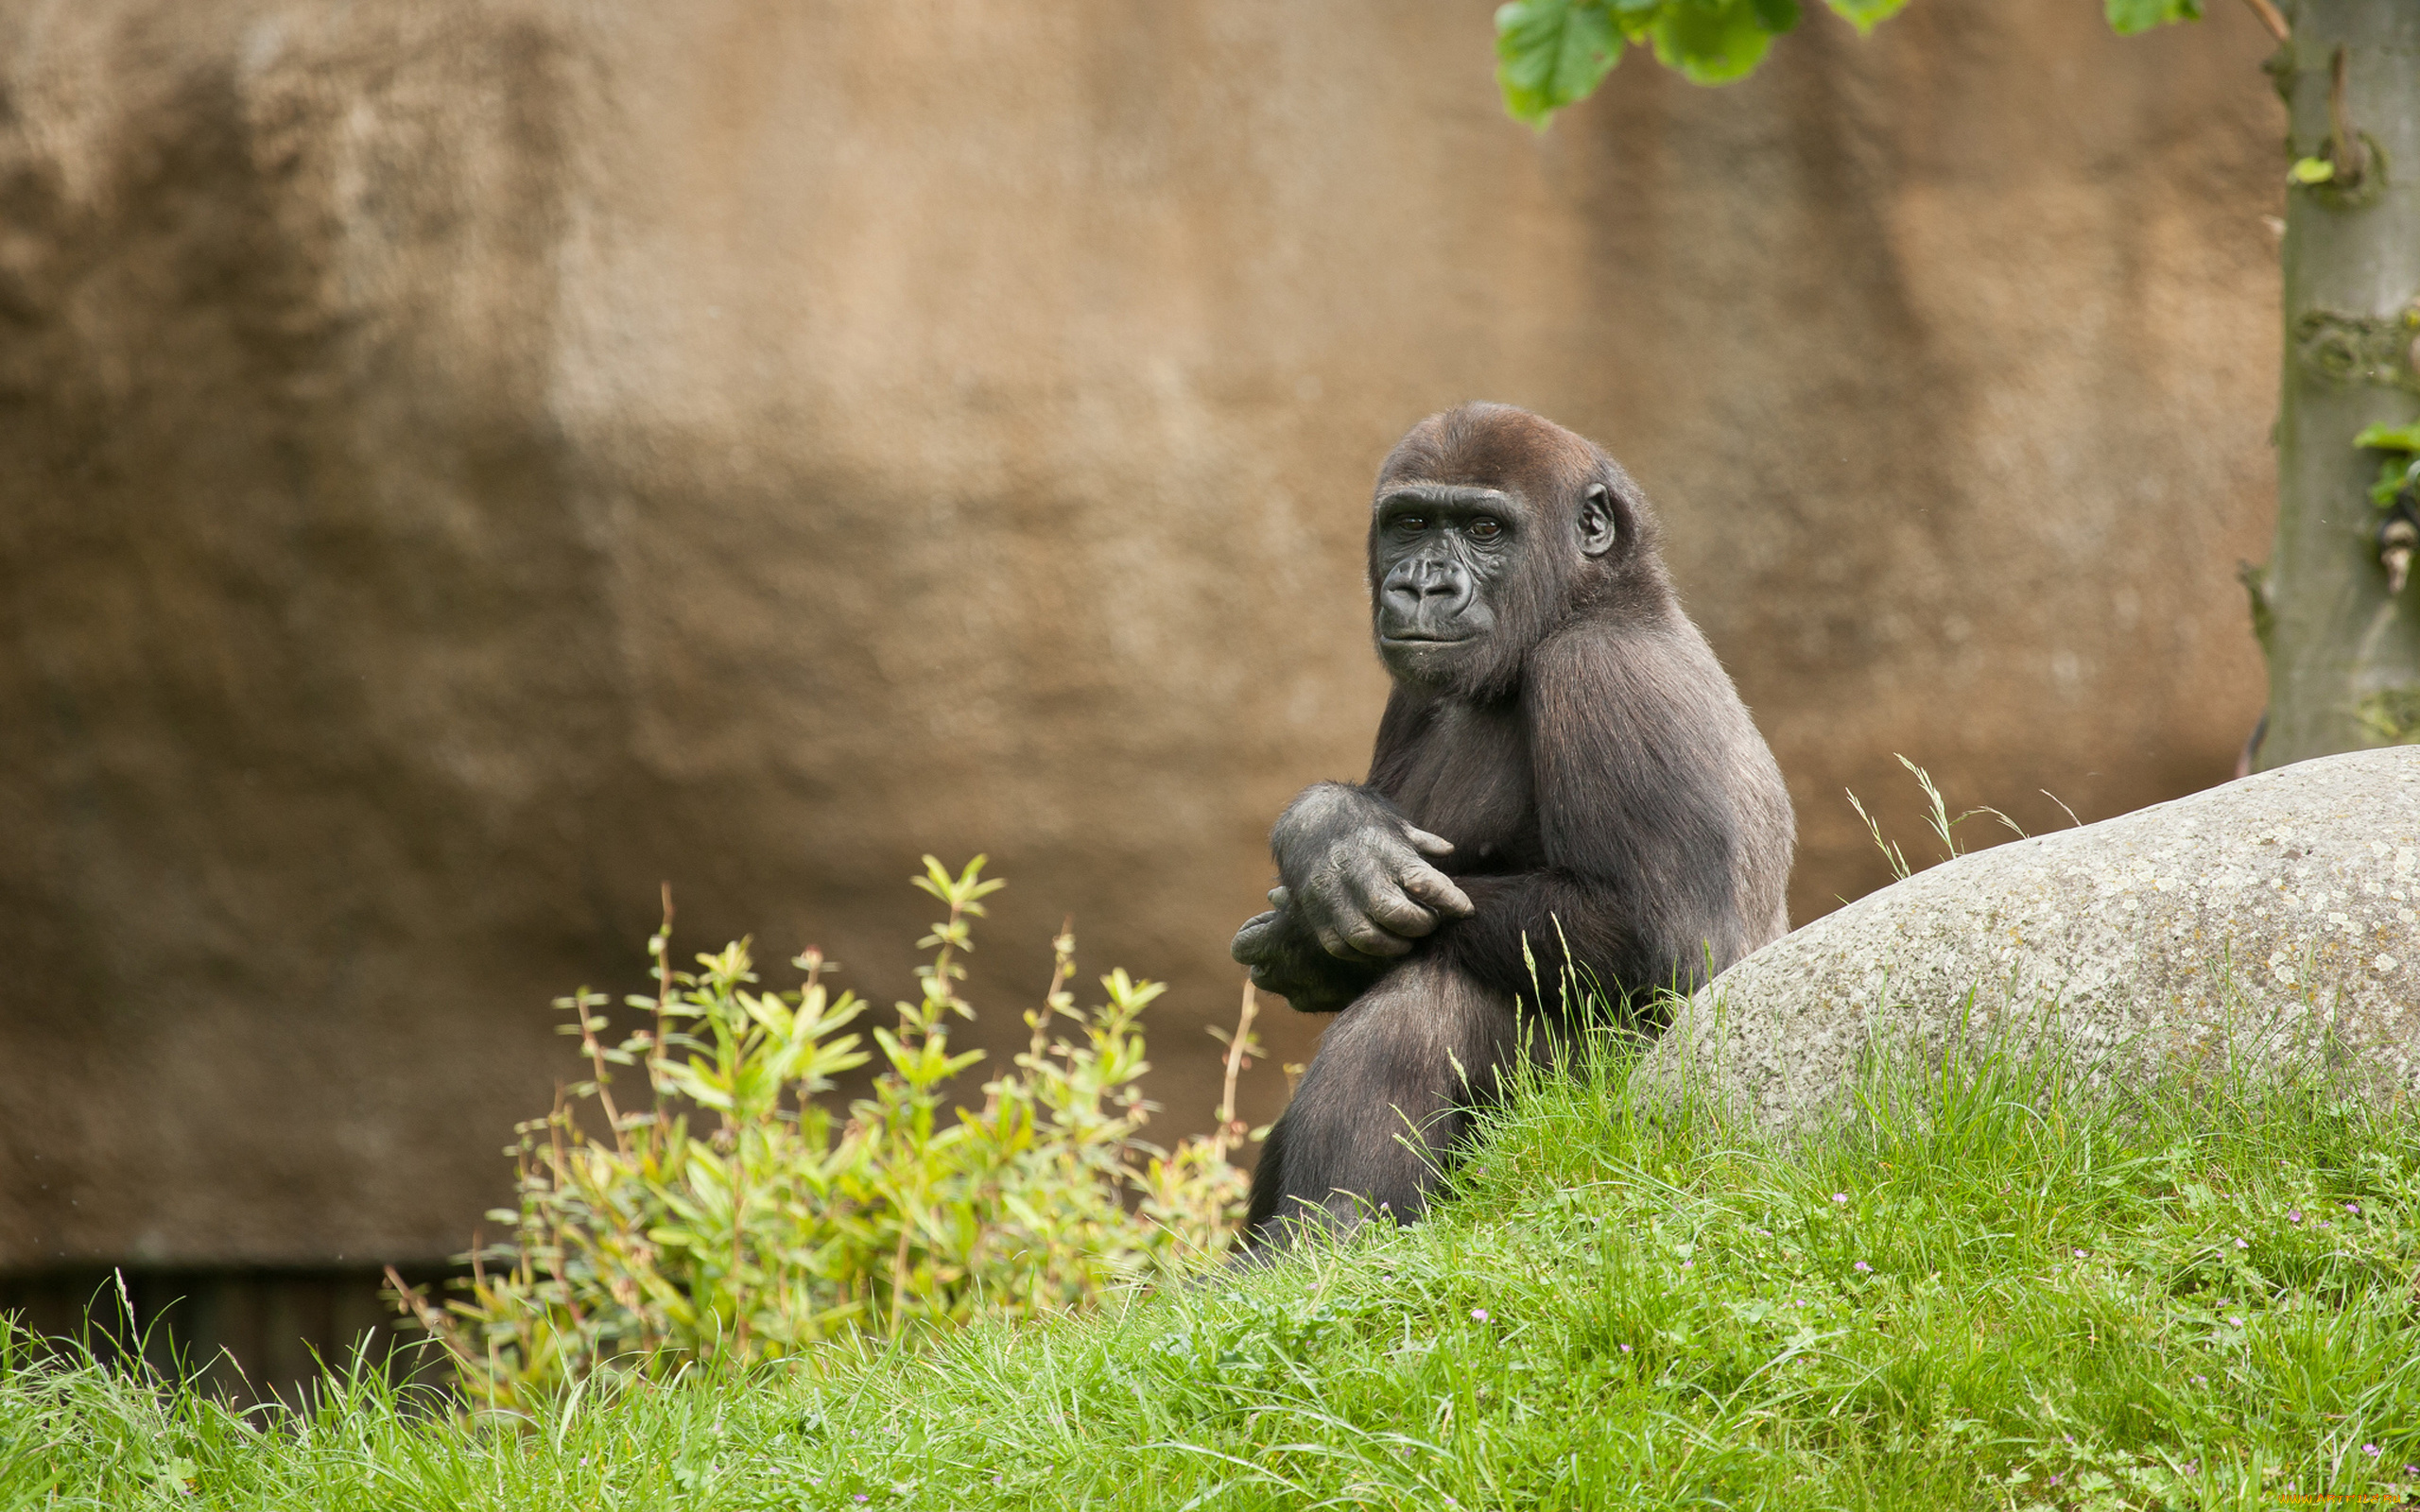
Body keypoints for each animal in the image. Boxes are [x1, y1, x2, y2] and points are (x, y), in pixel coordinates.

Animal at [1229, 401, 1800, 1238]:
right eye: (1411, 523)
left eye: (1484, 529)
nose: (1423, 586)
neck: (1594, 600)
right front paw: (1329, 836)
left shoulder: (1603, 671)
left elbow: (1658, 939)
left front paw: (1303, 926)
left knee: (1436, 996)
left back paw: (1331, 1224)